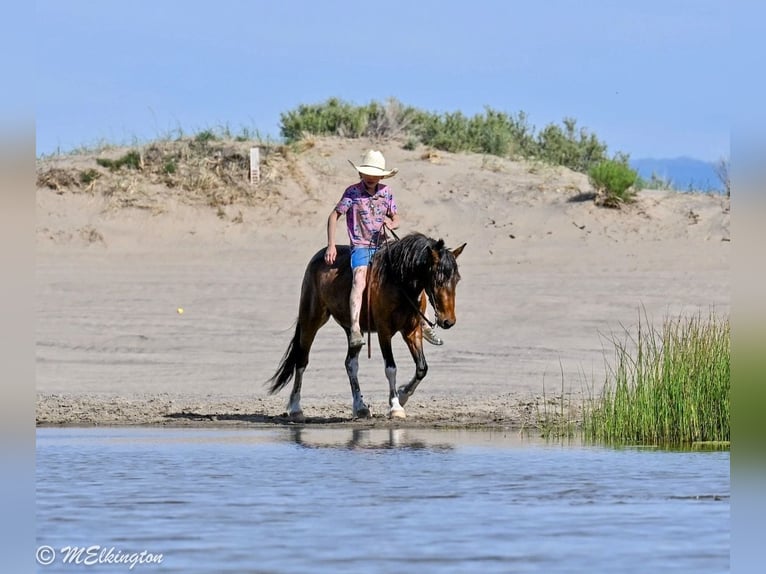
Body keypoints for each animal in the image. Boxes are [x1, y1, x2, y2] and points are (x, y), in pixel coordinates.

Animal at [267, 232, 466, 421]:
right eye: (437, 280)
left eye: (457, 279)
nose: (448, 321)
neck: (398, 283)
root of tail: (318, 257)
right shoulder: (384, 332)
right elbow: (391, 368)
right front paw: (395, 407)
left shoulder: (411, 331)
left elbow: (422, 368)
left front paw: (402, 395)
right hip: (312, 320)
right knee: (301, 361)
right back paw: (295, 408)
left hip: (352, 329)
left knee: (350, 363)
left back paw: (360, 407)